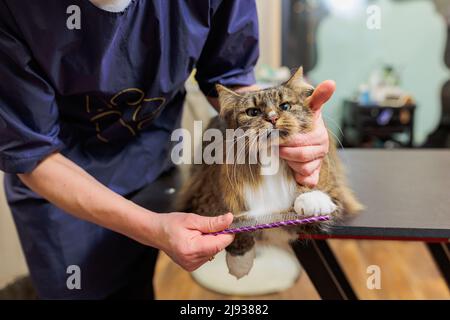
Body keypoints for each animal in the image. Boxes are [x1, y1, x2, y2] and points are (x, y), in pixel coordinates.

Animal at [178, 67, 364, 278]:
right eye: (253, 112)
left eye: (285, 106)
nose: (273, 118)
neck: (271, 157)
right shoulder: (204, 198)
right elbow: (234, 221)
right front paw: (240, 262)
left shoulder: (333, 187)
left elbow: (315, 189)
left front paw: (311, 200)